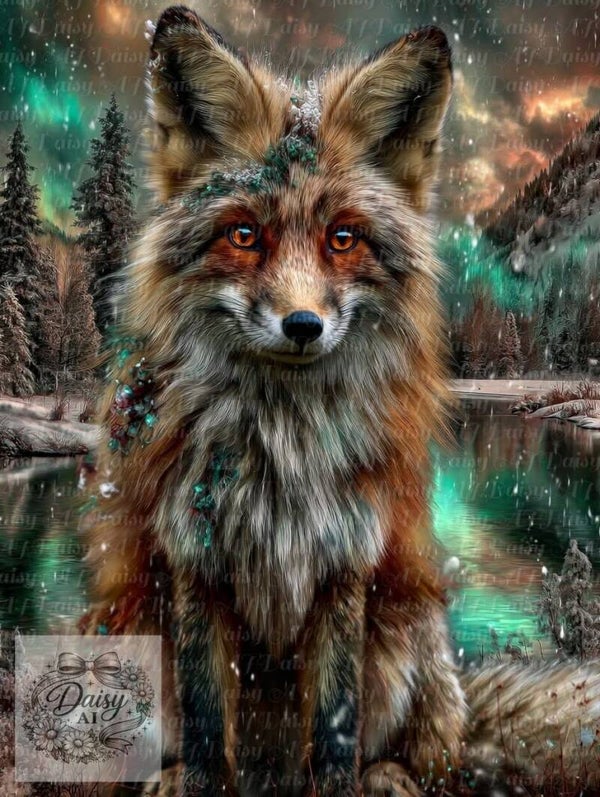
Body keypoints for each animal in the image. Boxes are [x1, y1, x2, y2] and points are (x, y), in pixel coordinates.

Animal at [79, 6, 600, 797]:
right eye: (245, 235)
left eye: (342, 238)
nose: (303, 325)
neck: (278, 457)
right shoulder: (196, 565)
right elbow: (206, 726)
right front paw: (196, 777)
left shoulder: (343, 567)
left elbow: (333, 726)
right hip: (131, 633)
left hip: (407, 637)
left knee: (423, 751)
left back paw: (390, 775)